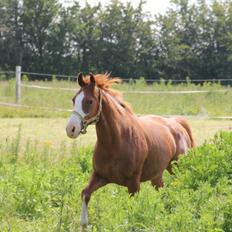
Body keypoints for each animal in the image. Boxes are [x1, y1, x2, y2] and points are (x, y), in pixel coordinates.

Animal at [66, 72, 195, 228]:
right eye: (74, 99)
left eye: (89, 101)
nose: (71, 129)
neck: (115, 142)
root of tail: (177, 123)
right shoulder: (100, 176)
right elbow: (85, 194)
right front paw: (84, 225)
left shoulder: (133, 183)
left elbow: (133, 208)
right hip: (157, 176)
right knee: (163, 192)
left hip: (177, 169)